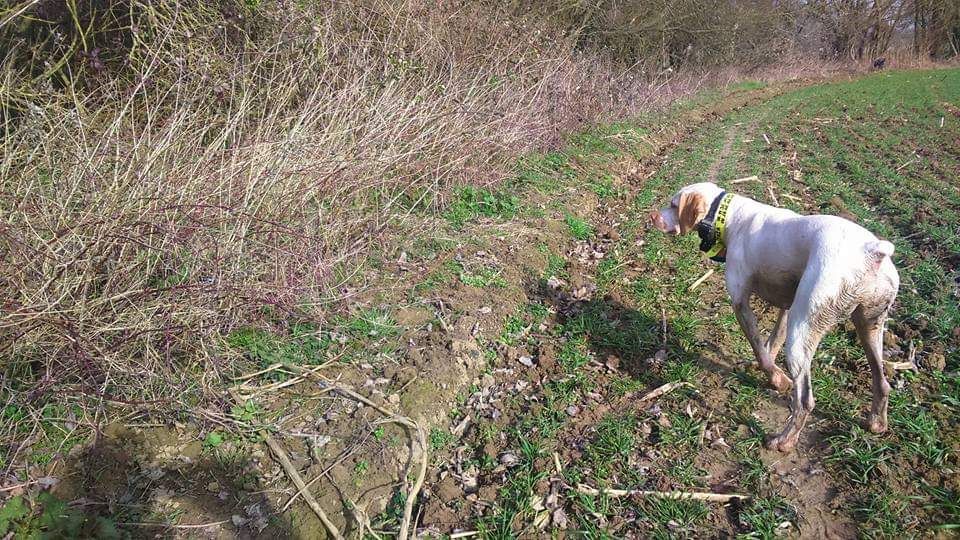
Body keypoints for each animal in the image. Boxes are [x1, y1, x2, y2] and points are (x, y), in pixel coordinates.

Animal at [648, 182, 896, 452]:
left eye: (674, 205)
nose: (652, 216)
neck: (730, 216)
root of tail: (872, 251)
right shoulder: (787, 305)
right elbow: (771, 342)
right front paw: (767, 371)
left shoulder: (740, 302)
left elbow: (759, 347)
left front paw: (776, 379)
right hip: (868, 327)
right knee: (882, 383)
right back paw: (876, 423)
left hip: (801, 333)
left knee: (805, 400)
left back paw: (783, 440)